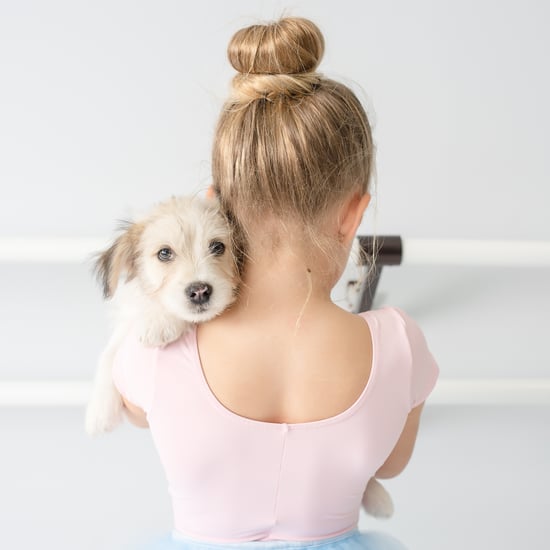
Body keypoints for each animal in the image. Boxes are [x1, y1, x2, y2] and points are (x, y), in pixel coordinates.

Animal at [85, 196, 238, 438]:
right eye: (164, 253)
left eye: (218, 247)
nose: (199, 292)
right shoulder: (127, 321)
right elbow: (108, 354)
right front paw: (99, 412)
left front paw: (159, 323)